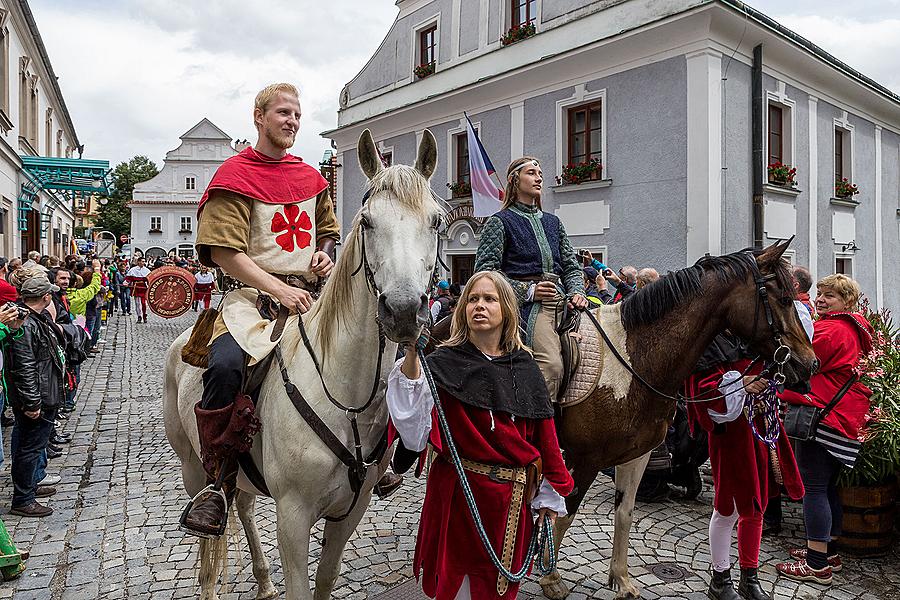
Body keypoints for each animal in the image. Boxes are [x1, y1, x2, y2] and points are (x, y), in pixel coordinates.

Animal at [163, 129, 444, 596]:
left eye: (436, 221)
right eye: (367, 222)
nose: (404, 311)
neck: (346, 397)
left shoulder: (350, 511)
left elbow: (326, 578)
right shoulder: (292, 517)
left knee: (241, 503)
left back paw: (262, 580)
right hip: (192, 466)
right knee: (210, 532)